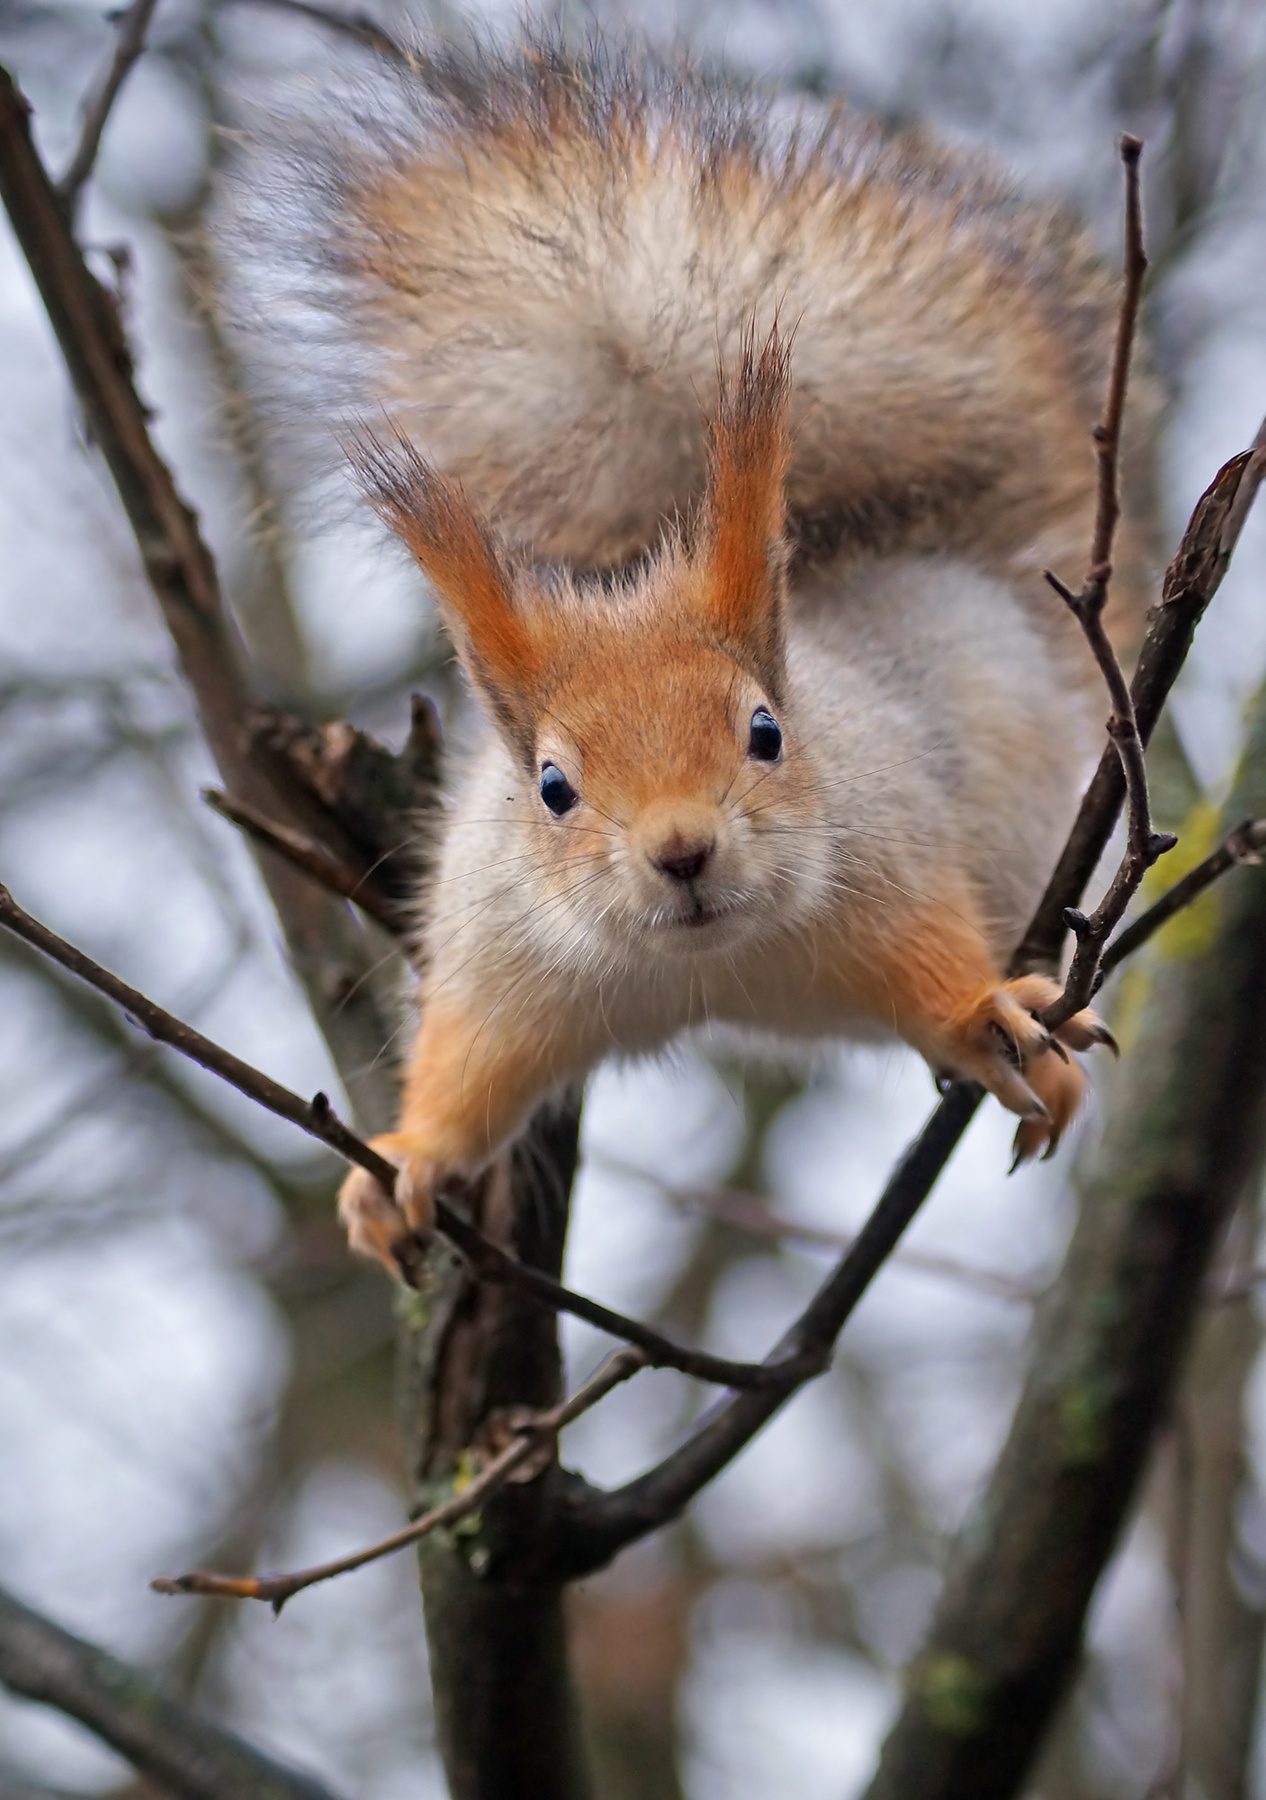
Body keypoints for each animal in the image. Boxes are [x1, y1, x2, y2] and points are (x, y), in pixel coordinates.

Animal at [225, 36, 1151, 1272]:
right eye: (551, 787)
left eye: (766, 732)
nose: (682, 850)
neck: (705, 967)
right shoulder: (503, 962)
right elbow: (468, 1077)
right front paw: (406, 1163)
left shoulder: (892, 860)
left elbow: (933, 963)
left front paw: (982, 1015)